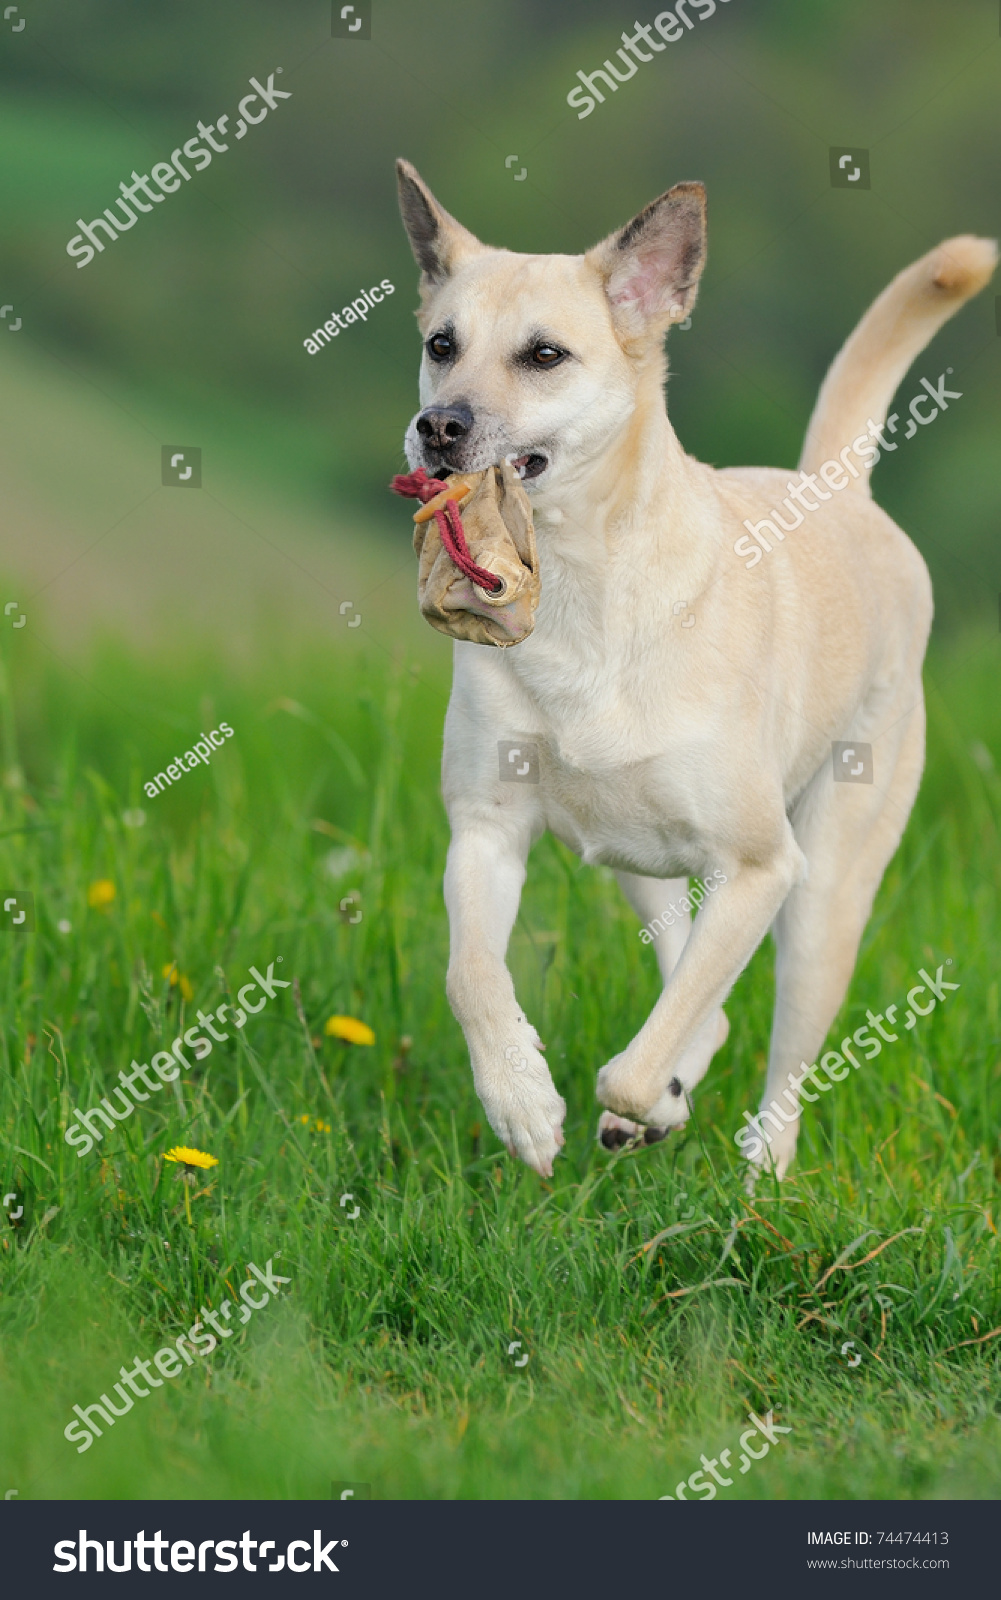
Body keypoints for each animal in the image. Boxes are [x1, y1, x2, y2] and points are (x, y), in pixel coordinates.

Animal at [393, 162, 991, 1184]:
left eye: (544, 354)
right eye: (442, 344)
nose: (438, 425)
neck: (579, 588)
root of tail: (840, 491)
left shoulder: (757, 867)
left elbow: (637, 1063)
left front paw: (636, 1099)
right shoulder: (484, 829)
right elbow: (470, 973)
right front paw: (522, 1104)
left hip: (826, 889)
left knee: (780, 1044)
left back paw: (761, 1177)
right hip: (643, 861)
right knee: (685, 970)